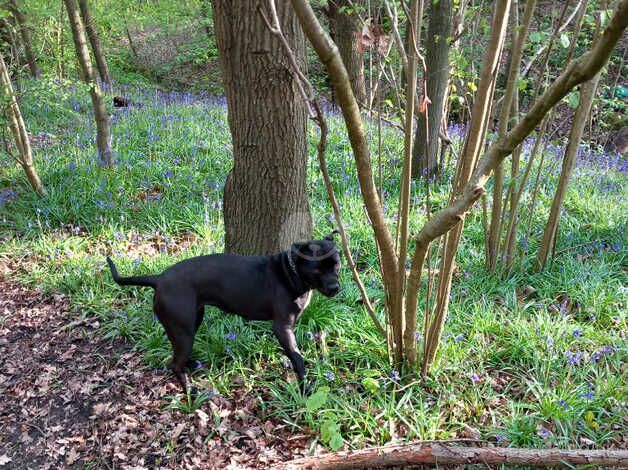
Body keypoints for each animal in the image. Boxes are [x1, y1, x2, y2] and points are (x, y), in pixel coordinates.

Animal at [109, 235, 344, 392]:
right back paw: (189, 389)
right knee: (174, 363)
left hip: (192, 321)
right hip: (184, 330)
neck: (290, 272)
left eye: (337, 264)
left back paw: (192, 365)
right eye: (317, 269)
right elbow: (297, 357)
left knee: (177, 356)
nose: (335, 288)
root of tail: (159, 279)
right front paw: (305, 388)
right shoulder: (282, 327)